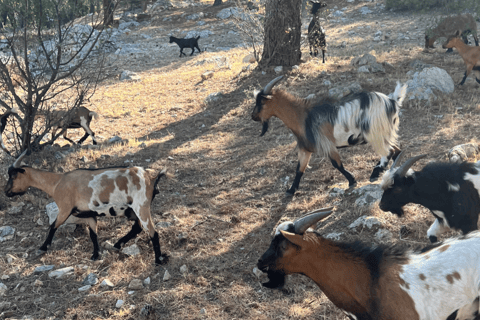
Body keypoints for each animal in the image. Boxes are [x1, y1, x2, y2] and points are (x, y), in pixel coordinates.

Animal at [5, 150, 169, 264]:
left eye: (13, 176)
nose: (6, 192)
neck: (57, 183)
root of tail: (151, 178)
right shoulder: (90, 214)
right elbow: (93, 235)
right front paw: (95, 255)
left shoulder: (64, 209)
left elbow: (53, 226)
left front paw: (43, 248)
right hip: (133, 210)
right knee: (138, 227)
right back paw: (117, 244)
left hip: (141, 206)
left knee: (152, 232)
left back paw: (158, 260)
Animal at [253, 75, 406, 195]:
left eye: (261, 103)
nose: (253, 116)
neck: (303, 117)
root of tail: (391, 102)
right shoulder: (305, 149)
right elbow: (299, 169)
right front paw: (291, 190)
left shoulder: (327, 145)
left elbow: (337, 164)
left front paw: (352, 181)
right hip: (384, 134)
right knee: (396, 151)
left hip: (375, 133)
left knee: (388, 151)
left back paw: (375, 173)